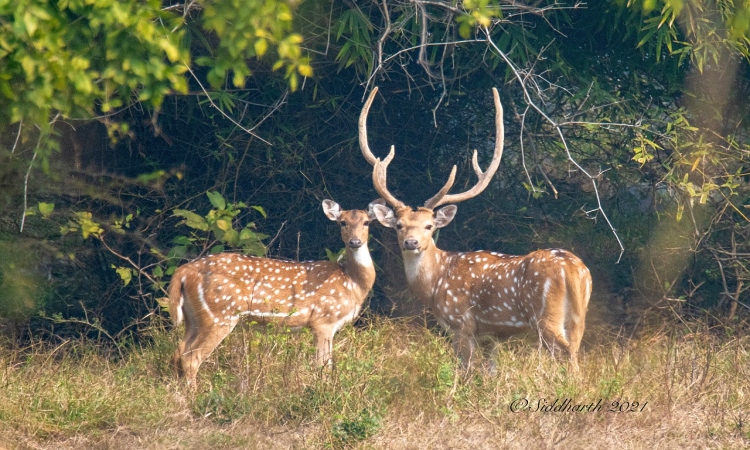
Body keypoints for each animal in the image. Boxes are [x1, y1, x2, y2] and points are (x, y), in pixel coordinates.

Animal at [169, 199, 382, 384]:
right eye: (342, 222)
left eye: (366, 222)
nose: (355, 241)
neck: (352, 283)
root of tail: (183, 272)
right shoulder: (324, 320)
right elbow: (323, 366)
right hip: (219, 315)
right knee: (191, 358)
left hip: (193, 318)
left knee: (178, 353)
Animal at [358, 88, 592, 372]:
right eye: (400, 226)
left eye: (429, 226)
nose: (411, 243)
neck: (435, 284)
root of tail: (572, 269)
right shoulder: (491, 336)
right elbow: (490, 371)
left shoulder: (460, 324)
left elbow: (466, 370)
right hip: (578, 317)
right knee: (576, 349)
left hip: (546, 317)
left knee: (567, 354)